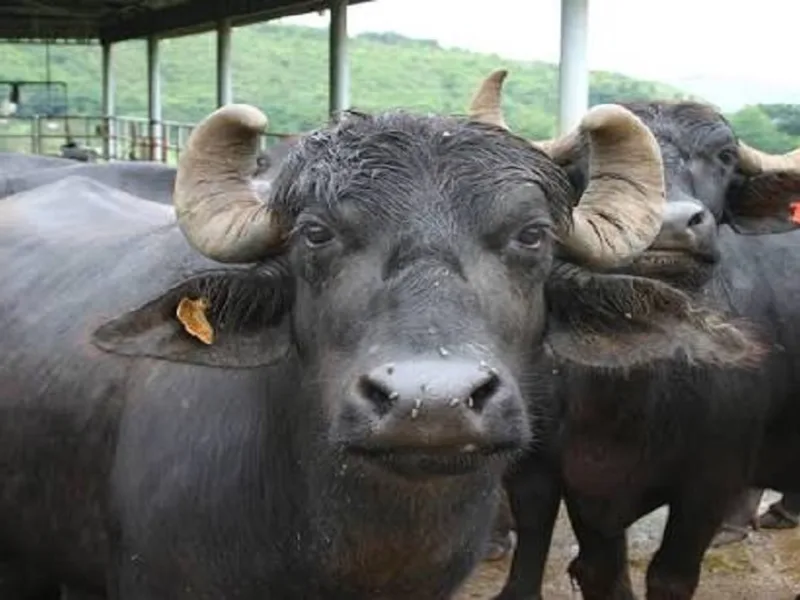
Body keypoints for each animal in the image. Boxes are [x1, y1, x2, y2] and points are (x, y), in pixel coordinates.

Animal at [469, 69, 800, 600]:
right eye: (591, 160)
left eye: (725, 156)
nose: (671, 225)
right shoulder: (581, 483)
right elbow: (601, 571)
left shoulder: (710, 482)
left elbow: (670, 575)